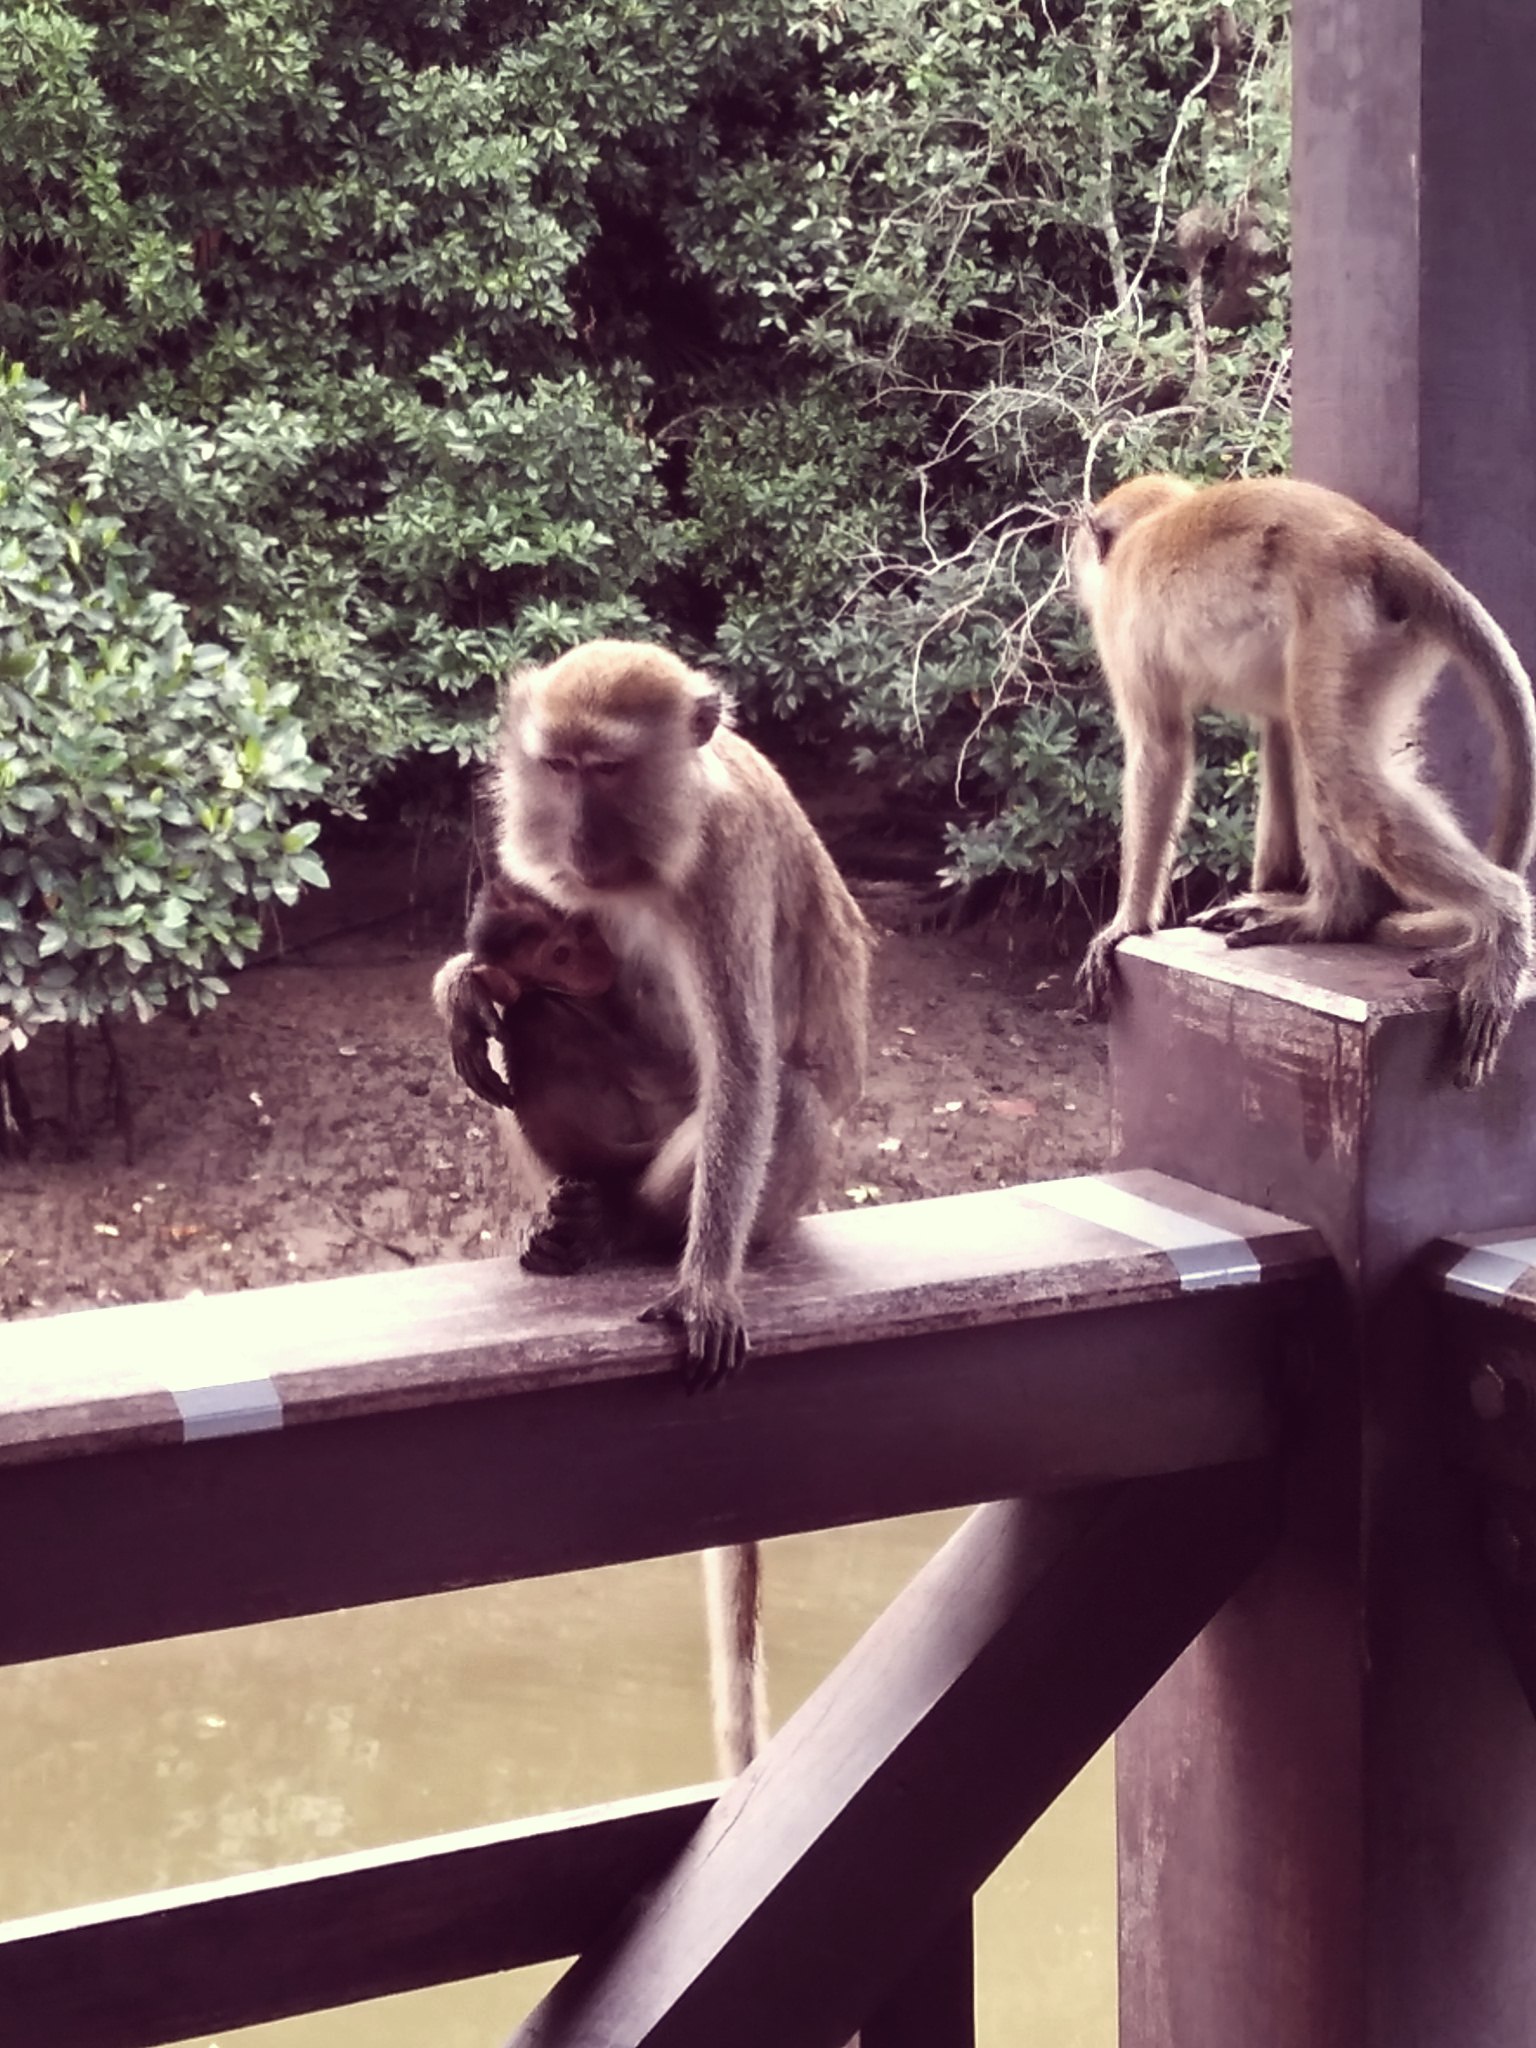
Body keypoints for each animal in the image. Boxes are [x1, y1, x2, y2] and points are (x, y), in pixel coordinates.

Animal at [1069, 473, 1536, 1088]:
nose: (1075, 561)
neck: (1150, 526)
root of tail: (1377, 542)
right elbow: (1276, 727)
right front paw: (1269, 885)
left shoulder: (1123, 624)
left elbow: (1161, 751)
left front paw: (1126, 923)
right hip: (1379, 647)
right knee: (1311, 744)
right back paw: (1336, 916)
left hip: (1343, 630)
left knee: (1341, 781)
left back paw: (1469, 918)